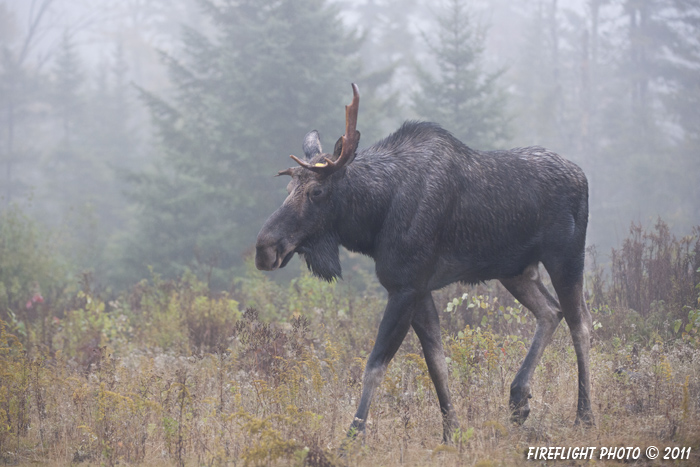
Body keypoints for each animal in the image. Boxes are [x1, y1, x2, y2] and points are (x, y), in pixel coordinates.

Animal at [254, 82, 592, 444]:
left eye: (316, 191)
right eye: (289, 185)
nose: (264, 248)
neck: (375, 217)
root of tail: (583, 177)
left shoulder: (405, 287)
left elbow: (375, 366)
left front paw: (352, 437)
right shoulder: (419, 290)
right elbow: (437, 365)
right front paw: (451, 432)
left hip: (566, 257)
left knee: (580, 324)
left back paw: (584, 414)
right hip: (516, 271)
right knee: (550, 311)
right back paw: (519, 400)